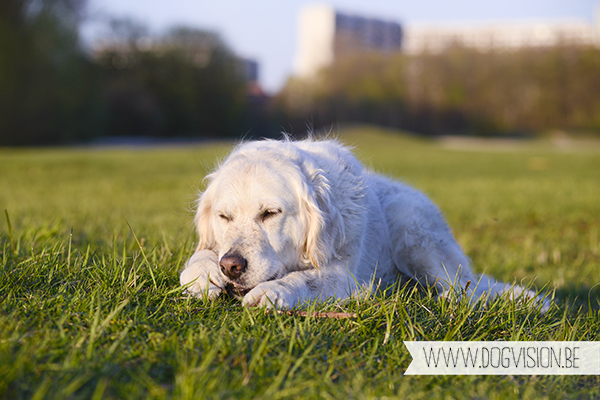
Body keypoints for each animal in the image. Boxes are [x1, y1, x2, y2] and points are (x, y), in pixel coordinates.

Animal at [179, 138, 548, 310]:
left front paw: (273, 292)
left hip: (412, 231)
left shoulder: (345, 276)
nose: (232, 266)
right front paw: (203, 275)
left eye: (270, 213)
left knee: (464, 288)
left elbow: (305, 280)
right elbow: (201, 255)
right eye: (224, 217)